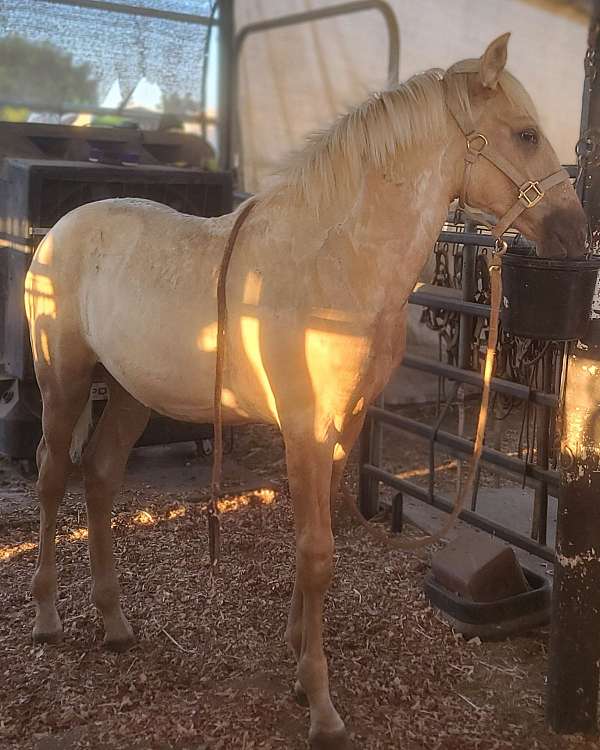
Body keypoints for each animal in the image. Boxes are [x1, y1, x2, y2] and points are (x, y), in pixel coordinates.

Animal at [25, 36, 584, 750]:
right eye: (526, 134)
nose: (575, 234)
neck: (335, 264)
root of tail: (58, 231)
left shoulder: (341, 428)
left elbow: (312, 547)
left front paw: (297, 664)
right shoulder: (305, 427)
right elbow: (317, 554)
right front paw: (321, 707)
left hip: (129, 391)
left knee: (98, 474)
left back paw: (116, 624)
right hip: (63, 378)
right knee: (52, 475)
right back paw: (47, 616)